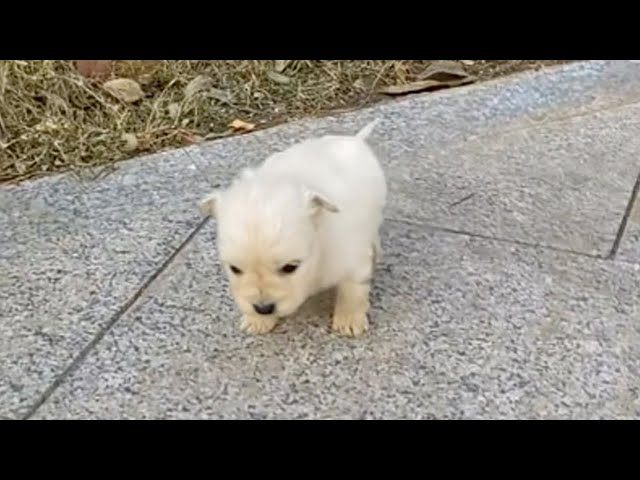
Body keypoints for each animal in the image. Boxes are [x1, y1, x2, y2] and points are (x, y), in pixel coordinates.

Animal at [200, 119, 388, 338]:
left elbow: (353, 290)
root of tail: (355, 140)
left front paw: (349, 319)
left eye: (290, 267)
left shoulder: (352, 258)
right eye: (234, 269)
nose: (263, 308)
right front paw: (258, 320)